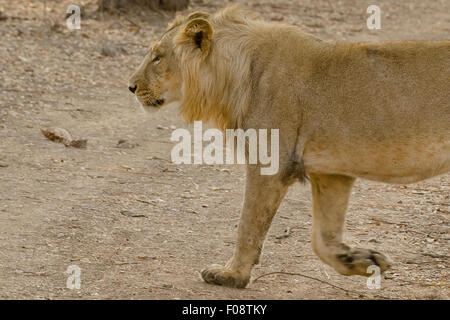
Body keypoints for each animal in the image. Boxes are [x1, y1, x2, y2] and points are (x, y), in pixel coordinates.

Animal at [127, 5, 450, 288]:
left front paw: (232, 276)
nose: (130, 86)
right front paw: (362, 260)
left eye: (157, 57)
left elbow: (248, 226)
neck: (235, 75)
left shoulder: (269, 164)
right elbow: (322, 239)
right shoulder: (332, 173)